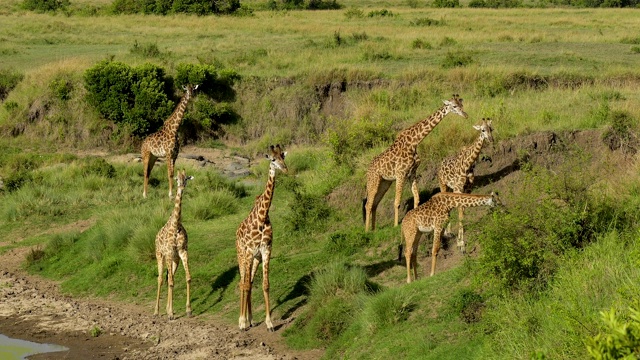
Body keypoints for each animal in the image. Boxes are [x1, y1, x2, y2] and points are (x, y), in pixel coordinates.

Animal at [154, 168, 194, 318]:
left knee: (169, 278)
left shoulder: (183, 251)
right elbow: (170, 281)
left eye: (186, 178)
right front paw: (170, 313)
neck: (176, 225)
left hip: (174, 260)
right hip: (160, 256)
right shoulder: (169, 253)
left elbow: (188, 278)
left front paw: (188, 310)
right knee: (161, 279)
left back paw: (166, 309)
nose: (181, 187)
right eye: (177, 179)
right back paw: (156, 311)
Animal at [235, 143, 288, 332]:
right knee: (242, 283)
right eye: (272, 159)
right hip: (242, 256)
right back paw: (242, 321)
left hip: (255, 259)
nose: (285, 169)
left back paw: (250, 319)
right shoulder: (250, 251)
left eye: (283, 157)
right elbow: (246, 285)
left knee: (249, 282)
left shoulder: (266, 250)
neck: (263, 216)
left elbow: (265, 285)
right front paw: (242, 322)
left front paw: (269, 323)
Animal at [362, 94, 468, 232]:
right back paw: (366, 231)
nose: (466, 115)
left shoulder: (412, 172)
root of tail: (368, 169)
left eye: (461, 104)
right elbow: (397, 202)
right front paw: (396, 225)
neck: (414, 142)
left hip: (384, 182)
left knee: (375, 203)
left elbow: (417, 198)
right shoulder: (400, 173)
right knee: (368, 204)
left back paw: (374, 229)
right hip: (373, 180)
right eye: (454, 106)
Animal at [438, 118, 492, 253]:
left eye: (491, 129)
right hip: (443, 185)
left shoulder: (467, 189)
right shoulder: (458, 189)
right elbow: (460, 212)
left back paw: (448, 232)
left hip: (451, 188)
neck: (468, 164)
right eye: (482, 130)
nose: (490, 139)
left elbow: (462, 212)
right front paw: (461, 244)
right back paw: (446, 233)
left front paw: (460, 242)